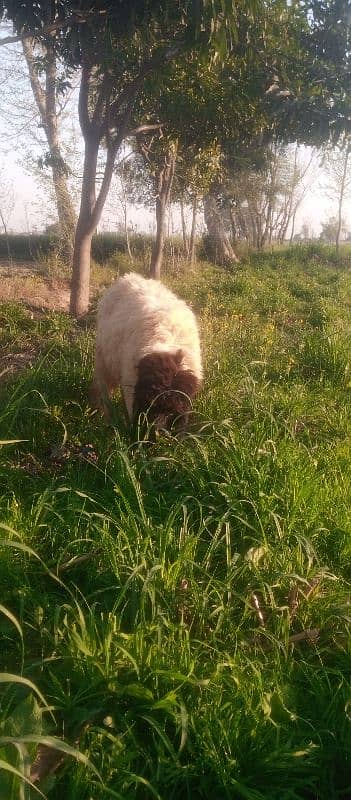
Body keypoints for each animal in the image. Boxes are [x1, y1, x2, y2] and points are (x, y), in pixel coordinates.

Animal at [89, 270, 202, 432]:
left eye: (170, 411)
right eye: (151, 406)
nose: (158, 431)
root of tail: (129, 276)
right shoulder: (134, 389)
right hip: (103, 358)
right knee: (102, 387)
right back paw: (103, 414)